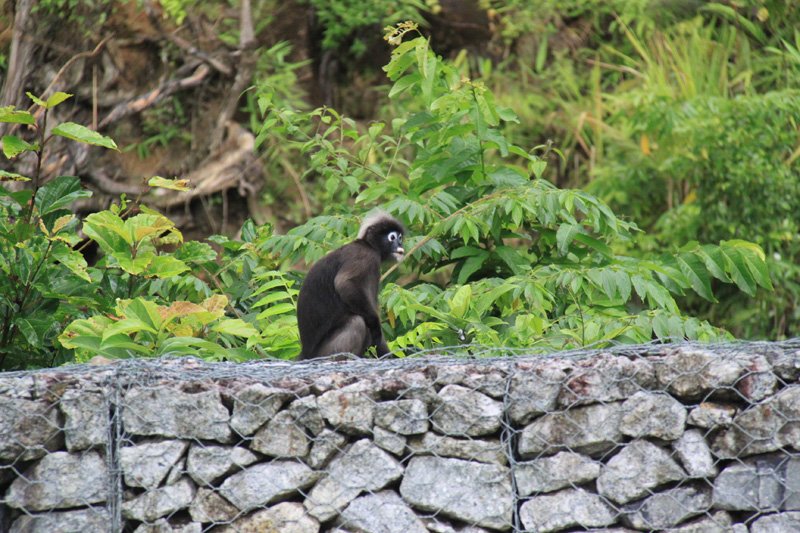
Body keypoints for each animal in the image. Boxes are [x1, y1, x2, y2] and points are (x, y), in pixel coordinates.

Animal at [296, 212, 405, 360]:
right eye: (392, 237)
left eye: (400, 237)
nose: (400, 243)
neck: (368, 245)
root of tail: (306, 354)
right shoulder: (365, 256)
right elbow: (344, 283)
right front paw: (376, 329)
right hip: (325, 353)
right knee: (357, 322)